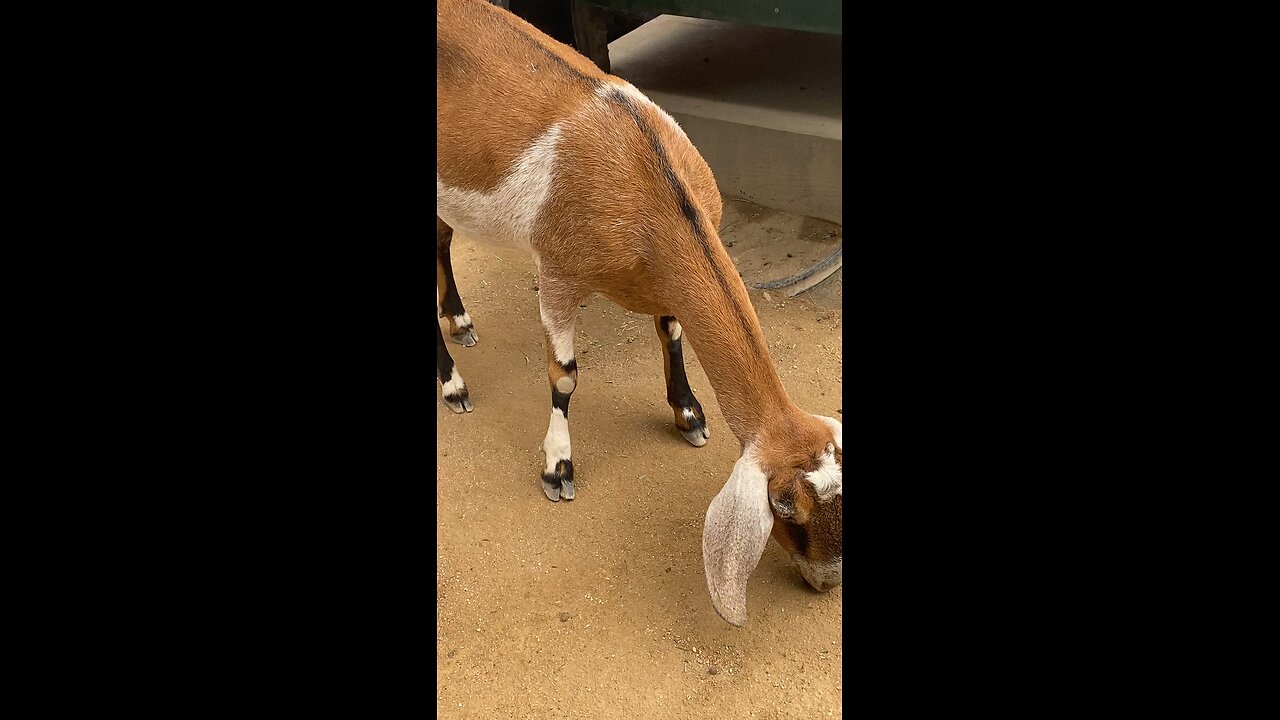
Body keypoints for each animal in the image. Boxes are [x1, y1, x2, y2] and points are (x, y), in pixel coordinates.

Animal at [436, 0, 842, 626]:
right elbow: (564, 376)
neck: (650, 183)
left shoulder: (658, 285)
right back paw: (453, 385)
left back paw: (460, 322)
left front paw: (689, 415)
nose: (827, 582)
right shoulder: (557, 272)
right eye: (783, 503)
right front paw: (558, 468)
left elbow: (672, 335)